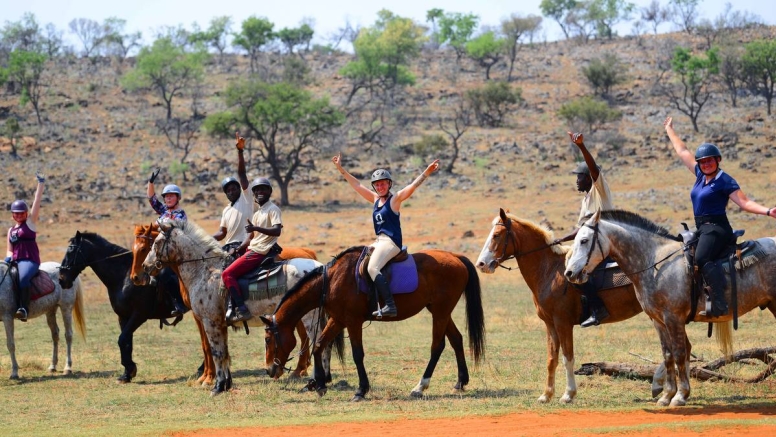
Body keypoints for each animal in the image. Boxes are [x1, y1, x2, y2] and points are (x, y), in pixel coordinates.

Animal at [59, 232, 180, 382]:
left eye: (70, 251)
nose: (61, 279)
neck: (125, 276)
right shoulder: (123, 317)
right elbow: (127, 342)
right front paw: (127, 374)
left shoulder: (139, 315)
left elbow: (122, 340)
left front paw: (130, 368)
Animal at [472, 208, 644, 402]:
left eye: (496, 235)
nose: (481, 264)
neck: (550, 271)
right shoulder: (550, 324)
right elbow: (551, 359)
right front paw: (547, 394)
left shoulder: (563, 323)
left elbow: (567, 358)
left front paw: (568, 394)